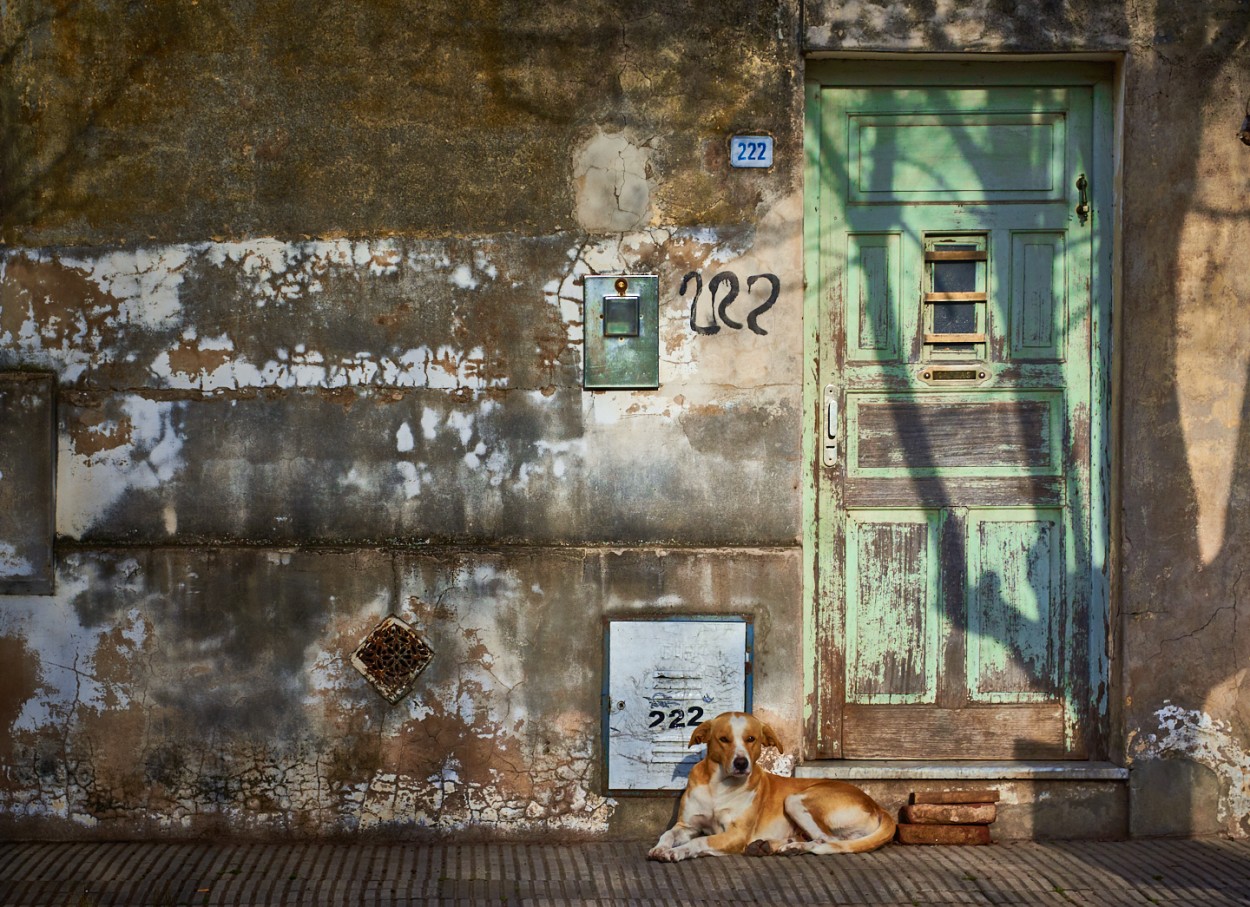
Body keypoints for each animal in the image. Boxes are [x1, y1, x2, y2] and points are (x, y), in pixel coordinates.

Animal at [650, 714, 895, 864]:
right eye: (723, 739)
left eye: (751, 739)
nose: (741, 763)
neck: (718, 787)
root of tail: (876, 805)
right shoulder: (687, 825)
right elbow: (668, 833)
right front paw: (661, 848)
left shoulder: (736, 835)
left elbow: (698, 841)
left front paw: (677, 851)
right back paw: (778, 845)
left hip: (795, 800)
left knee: (827, 839)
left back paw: (791, 846)